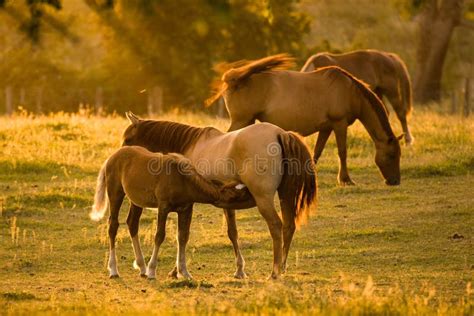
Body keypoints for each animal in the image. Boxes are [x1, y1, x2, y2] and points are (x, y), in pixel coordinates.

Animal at [90, 146, 252, 278]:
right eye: (242, 194)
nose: (254, 196)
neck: (182, 179)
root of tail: (112, 157)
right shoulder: (163, 207)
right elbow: (159, 236)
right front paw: (152, 271)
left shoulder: (185, 209)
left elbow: (183, 237)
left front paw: (184, 272)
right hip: (115, 193)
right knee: (113, 226)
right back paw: (114, 270)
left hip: (136, 201)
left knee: (132, 223)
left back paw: (141, 267)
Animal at [120, 113, 316, 278]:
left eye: (128, 138)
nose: (120, 156)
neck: (190, 145)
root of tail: (280, 134)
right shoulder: (227, 202)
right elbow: (232, 233)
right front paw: (239, 270)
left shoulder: (189, 202)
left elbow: (182, 235)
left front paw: (177, 271)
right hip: (285, 195)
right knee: (289, 226)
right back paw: (282, 267)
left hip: (264, 199)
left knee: (276, 226)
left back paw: (274, 272)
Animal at [206, 54, 400, 186]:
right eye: (392, 155)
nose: (394, 181)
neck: (348, 91)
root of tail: (233, 78)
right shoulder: (340, 124)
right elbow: (342, 151)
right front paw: (345, 179)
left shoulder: (326, 128)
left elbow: (317, 152)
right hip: (241, 120)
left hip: (247, 122)